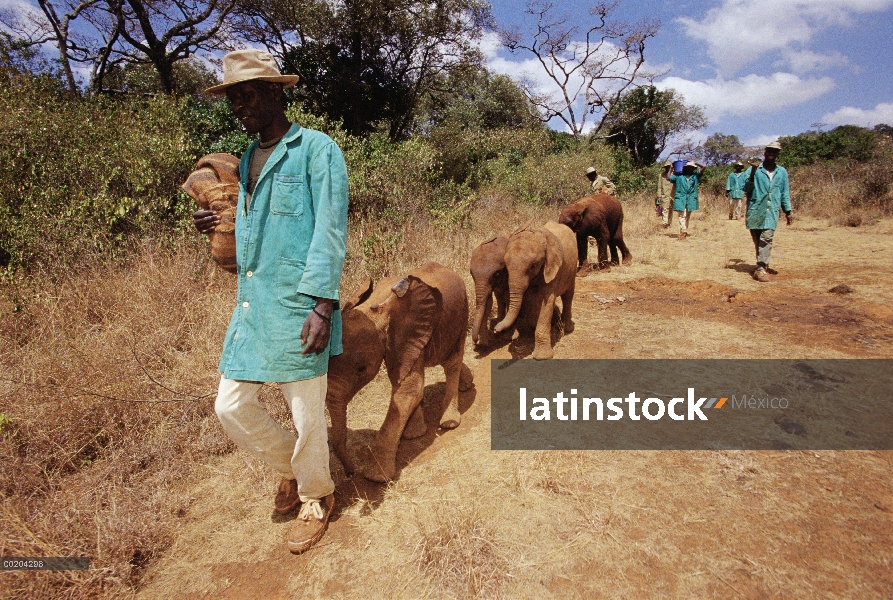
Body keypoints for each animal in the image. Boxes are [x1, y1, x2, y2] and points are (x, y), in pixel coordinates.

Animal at [322, 262, 474, 482]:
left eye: (361, 370)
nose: (351, 473)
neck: (372, 309)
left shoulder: (408, 331)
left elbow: (410, 389)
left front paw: (376, 477)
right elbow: (402, 382)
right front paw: (413, 435)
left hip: (462, 312)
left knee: (452, 362)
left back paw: (449, 422)